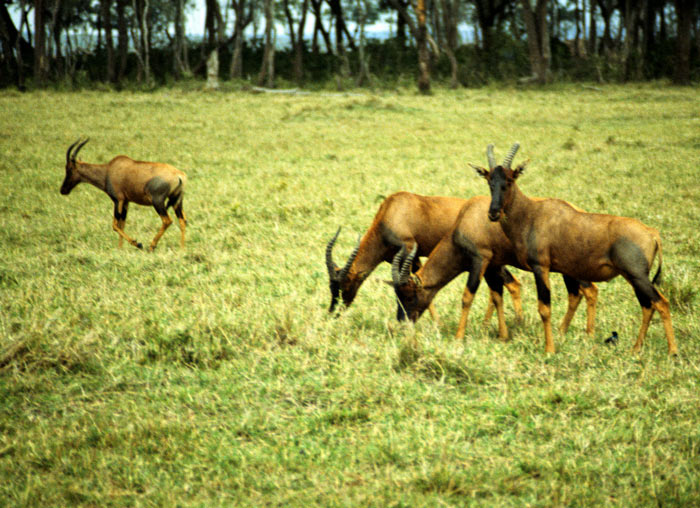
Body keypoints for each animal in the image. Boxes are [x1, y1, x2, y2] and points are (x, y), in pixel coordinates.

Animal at [326, 190, 524, 326]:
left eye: (344, 285)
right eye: (331, 288)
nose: (333, 313)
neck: (393, 211)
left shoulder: (409, 252)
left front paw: (436, 324)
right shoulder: (405, 259)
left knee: (510, 284)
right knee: (509, 284)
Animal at [392, 194, 600, 342]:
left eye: (409, 296)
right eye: (397, 296)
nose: (402, 323)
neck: (469, 216)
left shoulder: (480, 261)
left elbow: (467, 297)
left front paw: (459, 337)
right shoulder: (493, 266)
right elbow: (497, 296)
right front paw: (503, 335)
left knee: (590, 290)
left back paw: (589, 335)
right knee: (575, 294)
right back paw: (561, 331)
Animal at [474, 141, 676, 356]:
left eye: (510, 180)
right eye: (490, 181)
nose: (493, 213)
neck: (532, 214)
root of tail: (651, 232)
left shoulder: (540, 268)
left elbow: (544, 309)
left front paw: (549, 349)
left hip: (637, 276)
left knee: (661, 303)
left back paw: (672, 351)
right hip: (632, 277)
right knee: (647, 306)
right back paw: (636, 348)